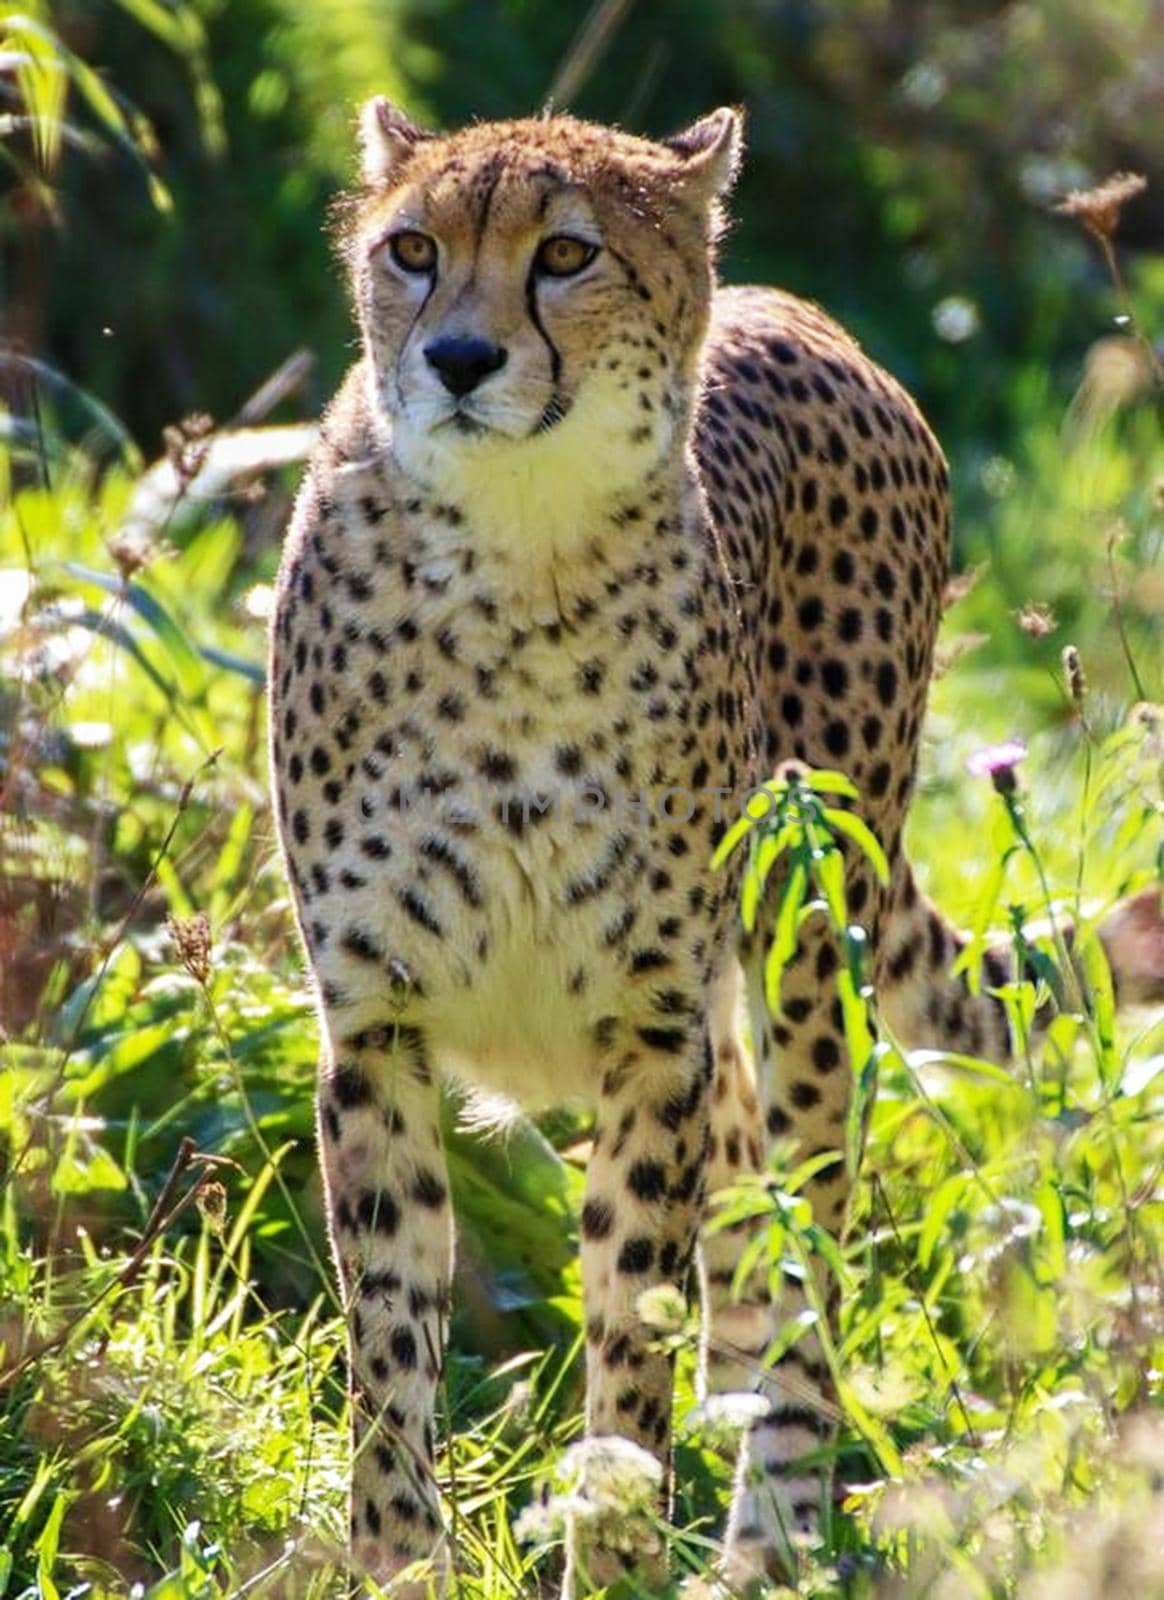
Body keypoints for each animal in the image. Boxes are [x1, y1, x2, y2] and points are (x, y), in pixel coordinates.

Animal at [275, 100, 1164, 1587]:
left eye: (566, 253)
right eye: (411, 250)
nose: (458, 358)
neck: (516, 549)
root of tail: (803, 312)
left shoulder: (650, 1033)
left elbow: (628, 1322)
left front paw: (614, 1545)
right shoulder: (376, 1023)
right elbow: (389, 1338)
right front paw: (399, 1559)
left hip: (810, 949)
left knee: (806, 1249)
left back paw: (770, 1537)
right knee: (750, 1231)